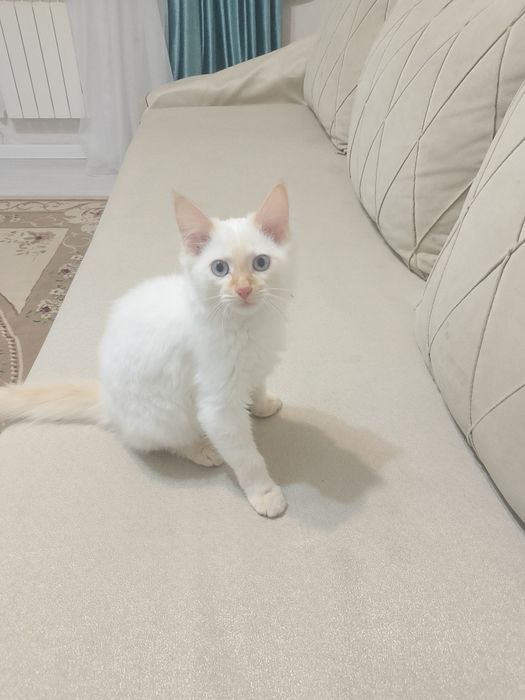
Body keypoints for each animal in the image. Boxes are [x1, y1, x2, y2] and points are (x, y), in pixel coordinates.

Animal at [0, 184, 292, 518]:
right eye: (220, 269)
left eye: (261, 263)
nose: (243, 290)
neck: (247, 327)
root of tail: (108, 402)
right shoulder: (219, 406)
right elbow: (247, 457)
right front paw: (264, 492)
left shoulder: (257, 364)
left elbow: (258, 386)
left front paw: (263, 405)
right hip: (166, 414)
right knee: (169, 441)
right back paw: (201, 449)